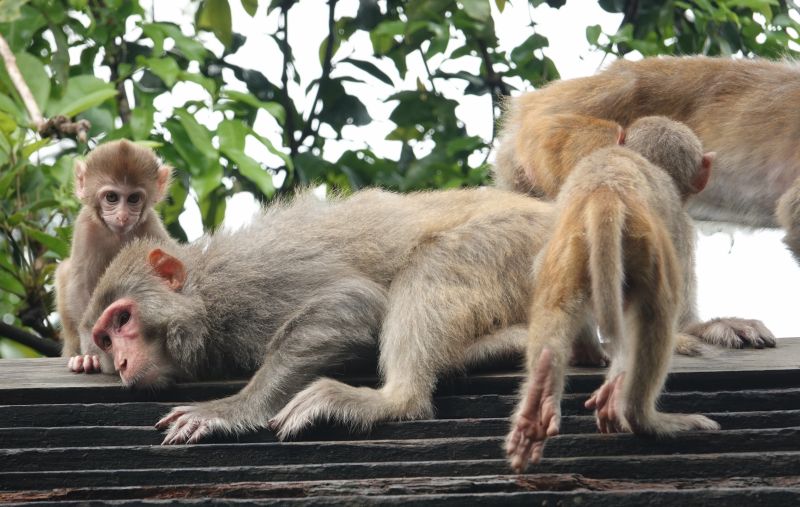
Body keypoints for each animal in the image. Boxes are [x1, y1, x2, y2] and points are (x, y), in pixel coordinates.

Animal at [55, 140, 173, 373]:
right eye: (111, 197)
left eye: (133, 198)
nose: (122, 216)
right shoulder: (85, 227)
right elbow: (81, 288)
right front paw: (92, 355)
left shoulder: (151, 226)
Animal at [79, 187, 558, 444]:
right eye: (105, 339)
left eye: (123, 320)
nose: (121, 362)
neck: (202, 294)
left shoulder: (247, 283)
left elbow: (355, 302)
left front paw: (232, 409)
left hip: (515, 241)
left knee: (433, 262)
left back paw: (389, 400)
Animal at [505, 117, 723, 473]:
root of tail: (606, 193)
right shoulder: (679, 226)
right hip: (646, 247)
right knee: (657, 312)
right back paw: (643, 419)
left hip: (575, 246)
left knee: (555, 303)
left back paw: (539, 401)